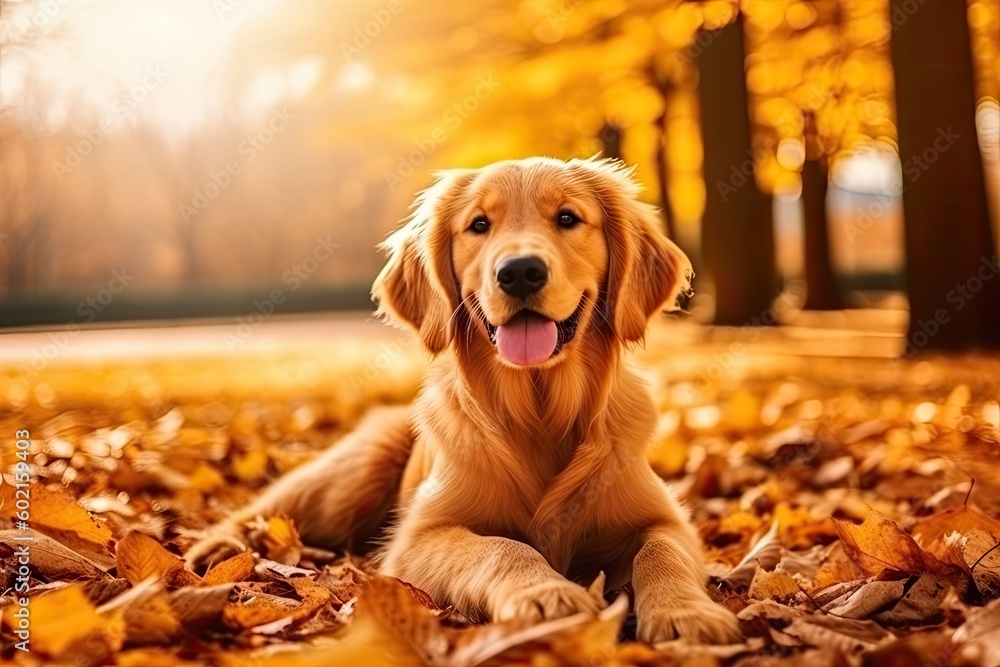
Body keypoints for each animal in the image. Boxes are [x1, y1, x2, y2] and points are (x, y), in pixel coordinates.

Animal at [189, 155, 744, 640]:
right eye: (479, 225)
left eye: (568, 218)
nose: (520, 271)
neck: (539, 413)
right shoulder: (419, 538)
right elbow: (501, 547)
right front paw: (545, 593)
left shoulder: (666, 519)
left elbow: (662, 552)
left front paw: (686, 613)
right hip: (351, 476)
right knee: (272, 506)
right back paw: (214, 550)